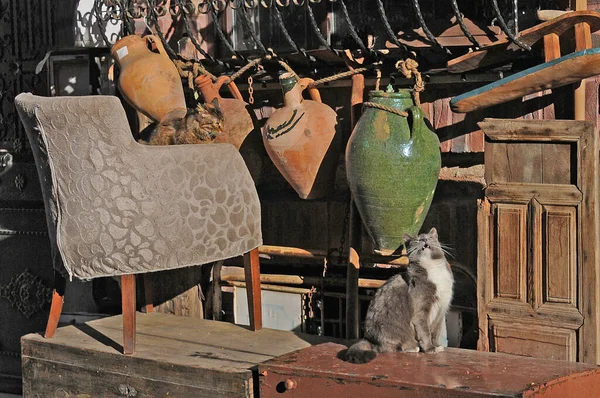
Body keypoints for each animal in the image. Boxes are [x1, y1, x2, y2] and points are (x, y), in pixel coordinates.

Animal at [344, 227, 452, 364]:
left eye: (429, 237)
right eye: (417, 240)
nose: (424, 239)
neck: (433, 268)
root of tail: (368, 338)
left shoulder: (441, 310)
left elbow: (436, 332)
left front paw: (437, 345)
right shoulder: (421, 310)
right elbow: (425, 331)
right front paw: (430, 349)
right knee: (388, 348)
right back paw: (413, 347)